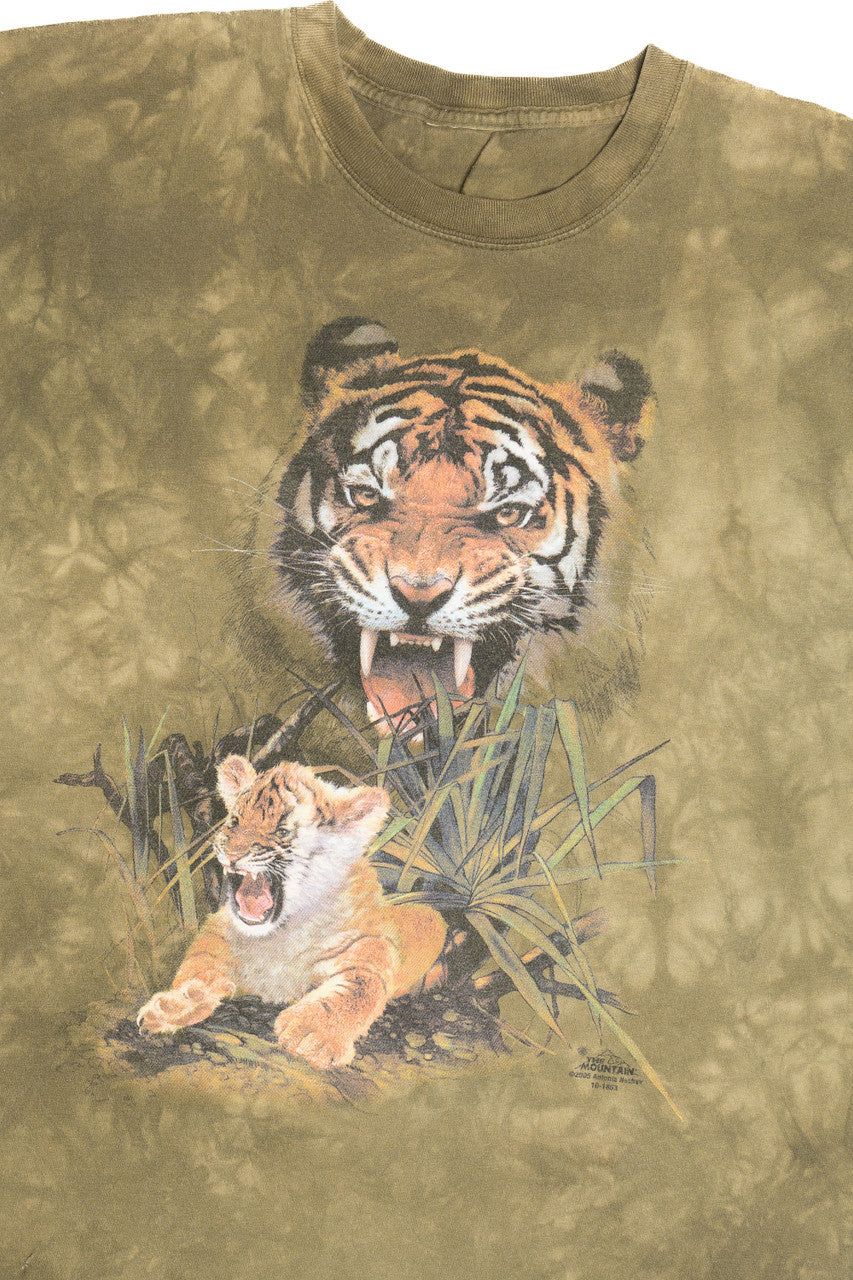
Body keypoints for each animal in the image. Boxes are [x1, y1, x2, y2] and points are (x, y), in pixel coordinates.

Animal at [136, 756, 447, 1070]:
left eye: (282, 831)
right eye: (235, 821)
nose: (233, 855)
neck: (280, 932)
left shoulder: (371, 944)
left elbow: (360, 987)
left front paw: (313, 1033)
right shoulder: (220, 927)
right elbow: (199, 963)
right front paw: (175, 1005)